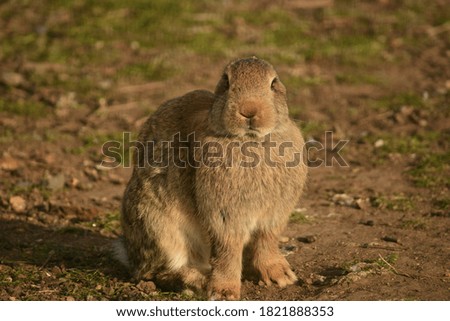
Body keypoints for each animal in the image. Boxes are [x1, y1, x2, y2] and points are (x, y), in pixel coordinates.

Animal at [118, 56, 310, 298]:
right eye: (226, 82)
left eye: (273, 83)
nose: (249, 110)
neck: (250, 140)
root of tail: (130, 256)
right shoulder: (223, 215)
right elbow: (228, 249)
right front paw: (224, 291)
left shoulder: (274, 214)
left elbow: (266, 241)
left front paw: (280, 276)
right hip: (157, 225)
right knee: (157, 272)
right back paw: (197, 280)